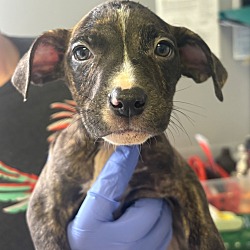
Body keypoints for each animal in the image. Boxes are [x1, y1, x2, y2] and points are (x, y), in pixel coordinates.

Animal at [11, 0, 228, 249]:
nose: (127, 100)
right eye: (81, 52)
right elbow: (50, 241)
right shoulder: (44, 206)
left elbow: (205, 233)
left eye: (163, 49)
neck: (110, 148)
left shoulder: (186, 182)